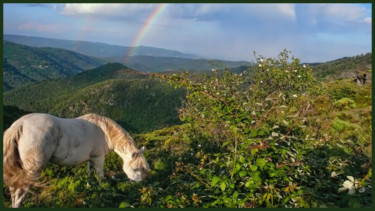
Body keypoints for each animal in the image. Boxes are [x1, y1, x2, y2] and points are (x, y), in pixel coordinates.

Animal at [3, 113, 150, 207]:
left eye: (143, 168)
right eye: (135, 168)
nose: (140, 185)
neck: (105, 131)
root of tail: (20, 125)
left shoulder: (91, 158)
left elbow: (90, 174)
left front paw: (90, 187)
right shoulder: (98, 157)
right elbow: (100, 176)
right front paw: (104, 190)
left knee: (14, 190)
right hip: (31, 171)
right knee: (19, 193)